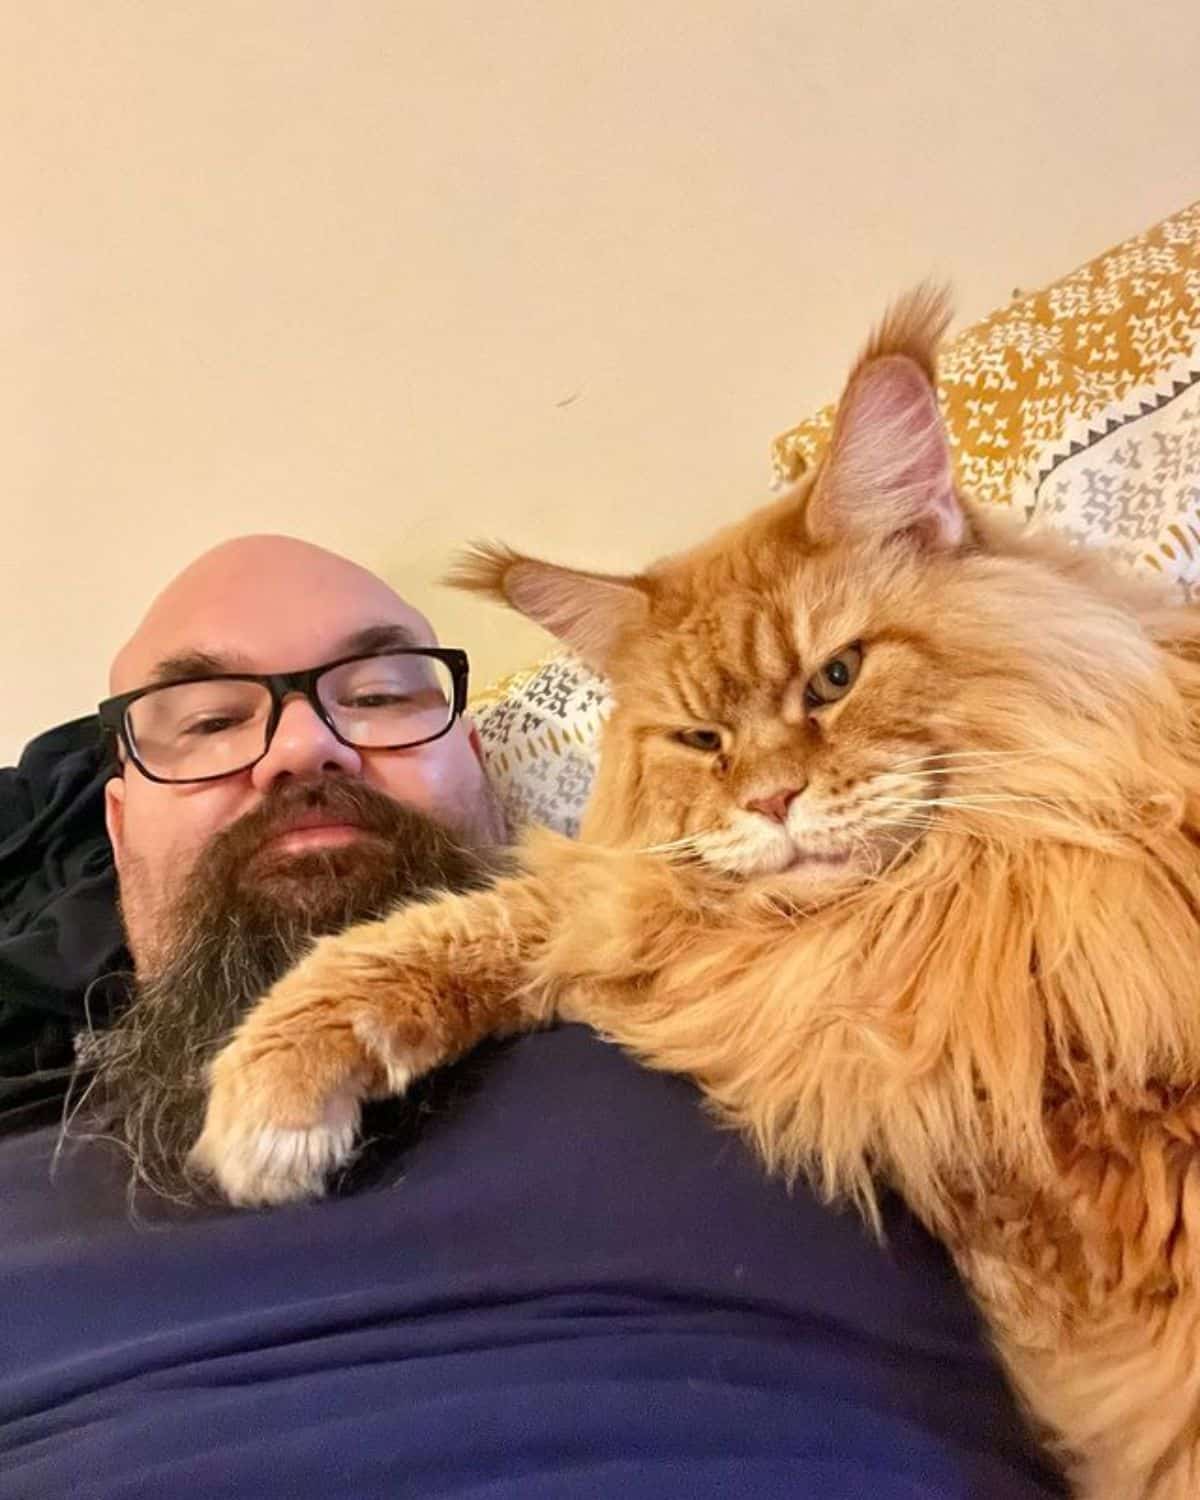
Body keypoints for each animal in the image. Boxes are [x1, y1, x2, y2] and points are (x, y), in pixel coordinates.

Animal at [192, 292, 1200, 1500]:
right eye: (701, 741)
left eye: (835, 679)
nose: (771, 800)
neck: (904, 921)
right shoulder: (688, 947)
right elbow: (456, 931)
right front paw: (269, 1105)